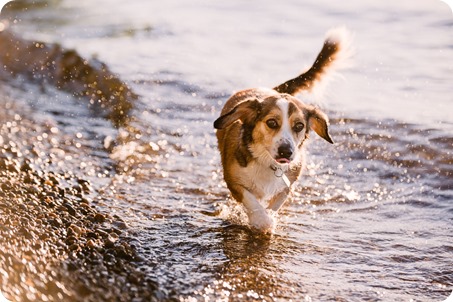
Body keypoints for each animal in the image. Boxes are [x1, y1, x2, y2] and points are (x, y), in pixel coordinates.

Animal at [213, 27, 350, 231]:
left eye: (299, 126)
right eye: (271, 123)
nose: (286, 151)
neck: (267, 162)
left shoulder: (288, 185)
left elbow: (276, 203)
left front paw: (269, 216)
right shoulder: (233, 182)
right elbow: (251, 200)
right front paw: (261, 220)